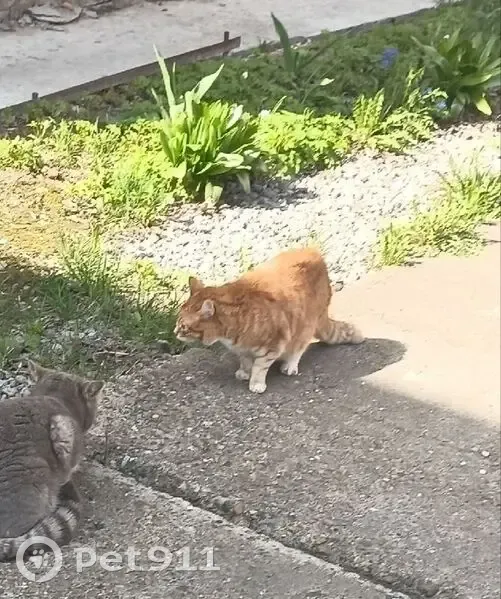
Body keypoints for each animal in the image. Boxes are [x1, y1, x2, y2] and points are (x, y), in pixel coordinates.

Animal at [175, 247, 364, 393]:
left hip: (305, 326)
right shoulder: (242, 350)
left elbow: (260, 367)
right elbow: (245, 361)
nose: (175, 332)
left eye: (184, 326)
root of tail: (315, 252)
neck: (229, 334)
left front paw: (256, 383)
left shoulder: (274, 344)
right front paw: (245, 372)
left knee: (299, 348)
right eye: (177, 322)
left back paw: (290, 365)